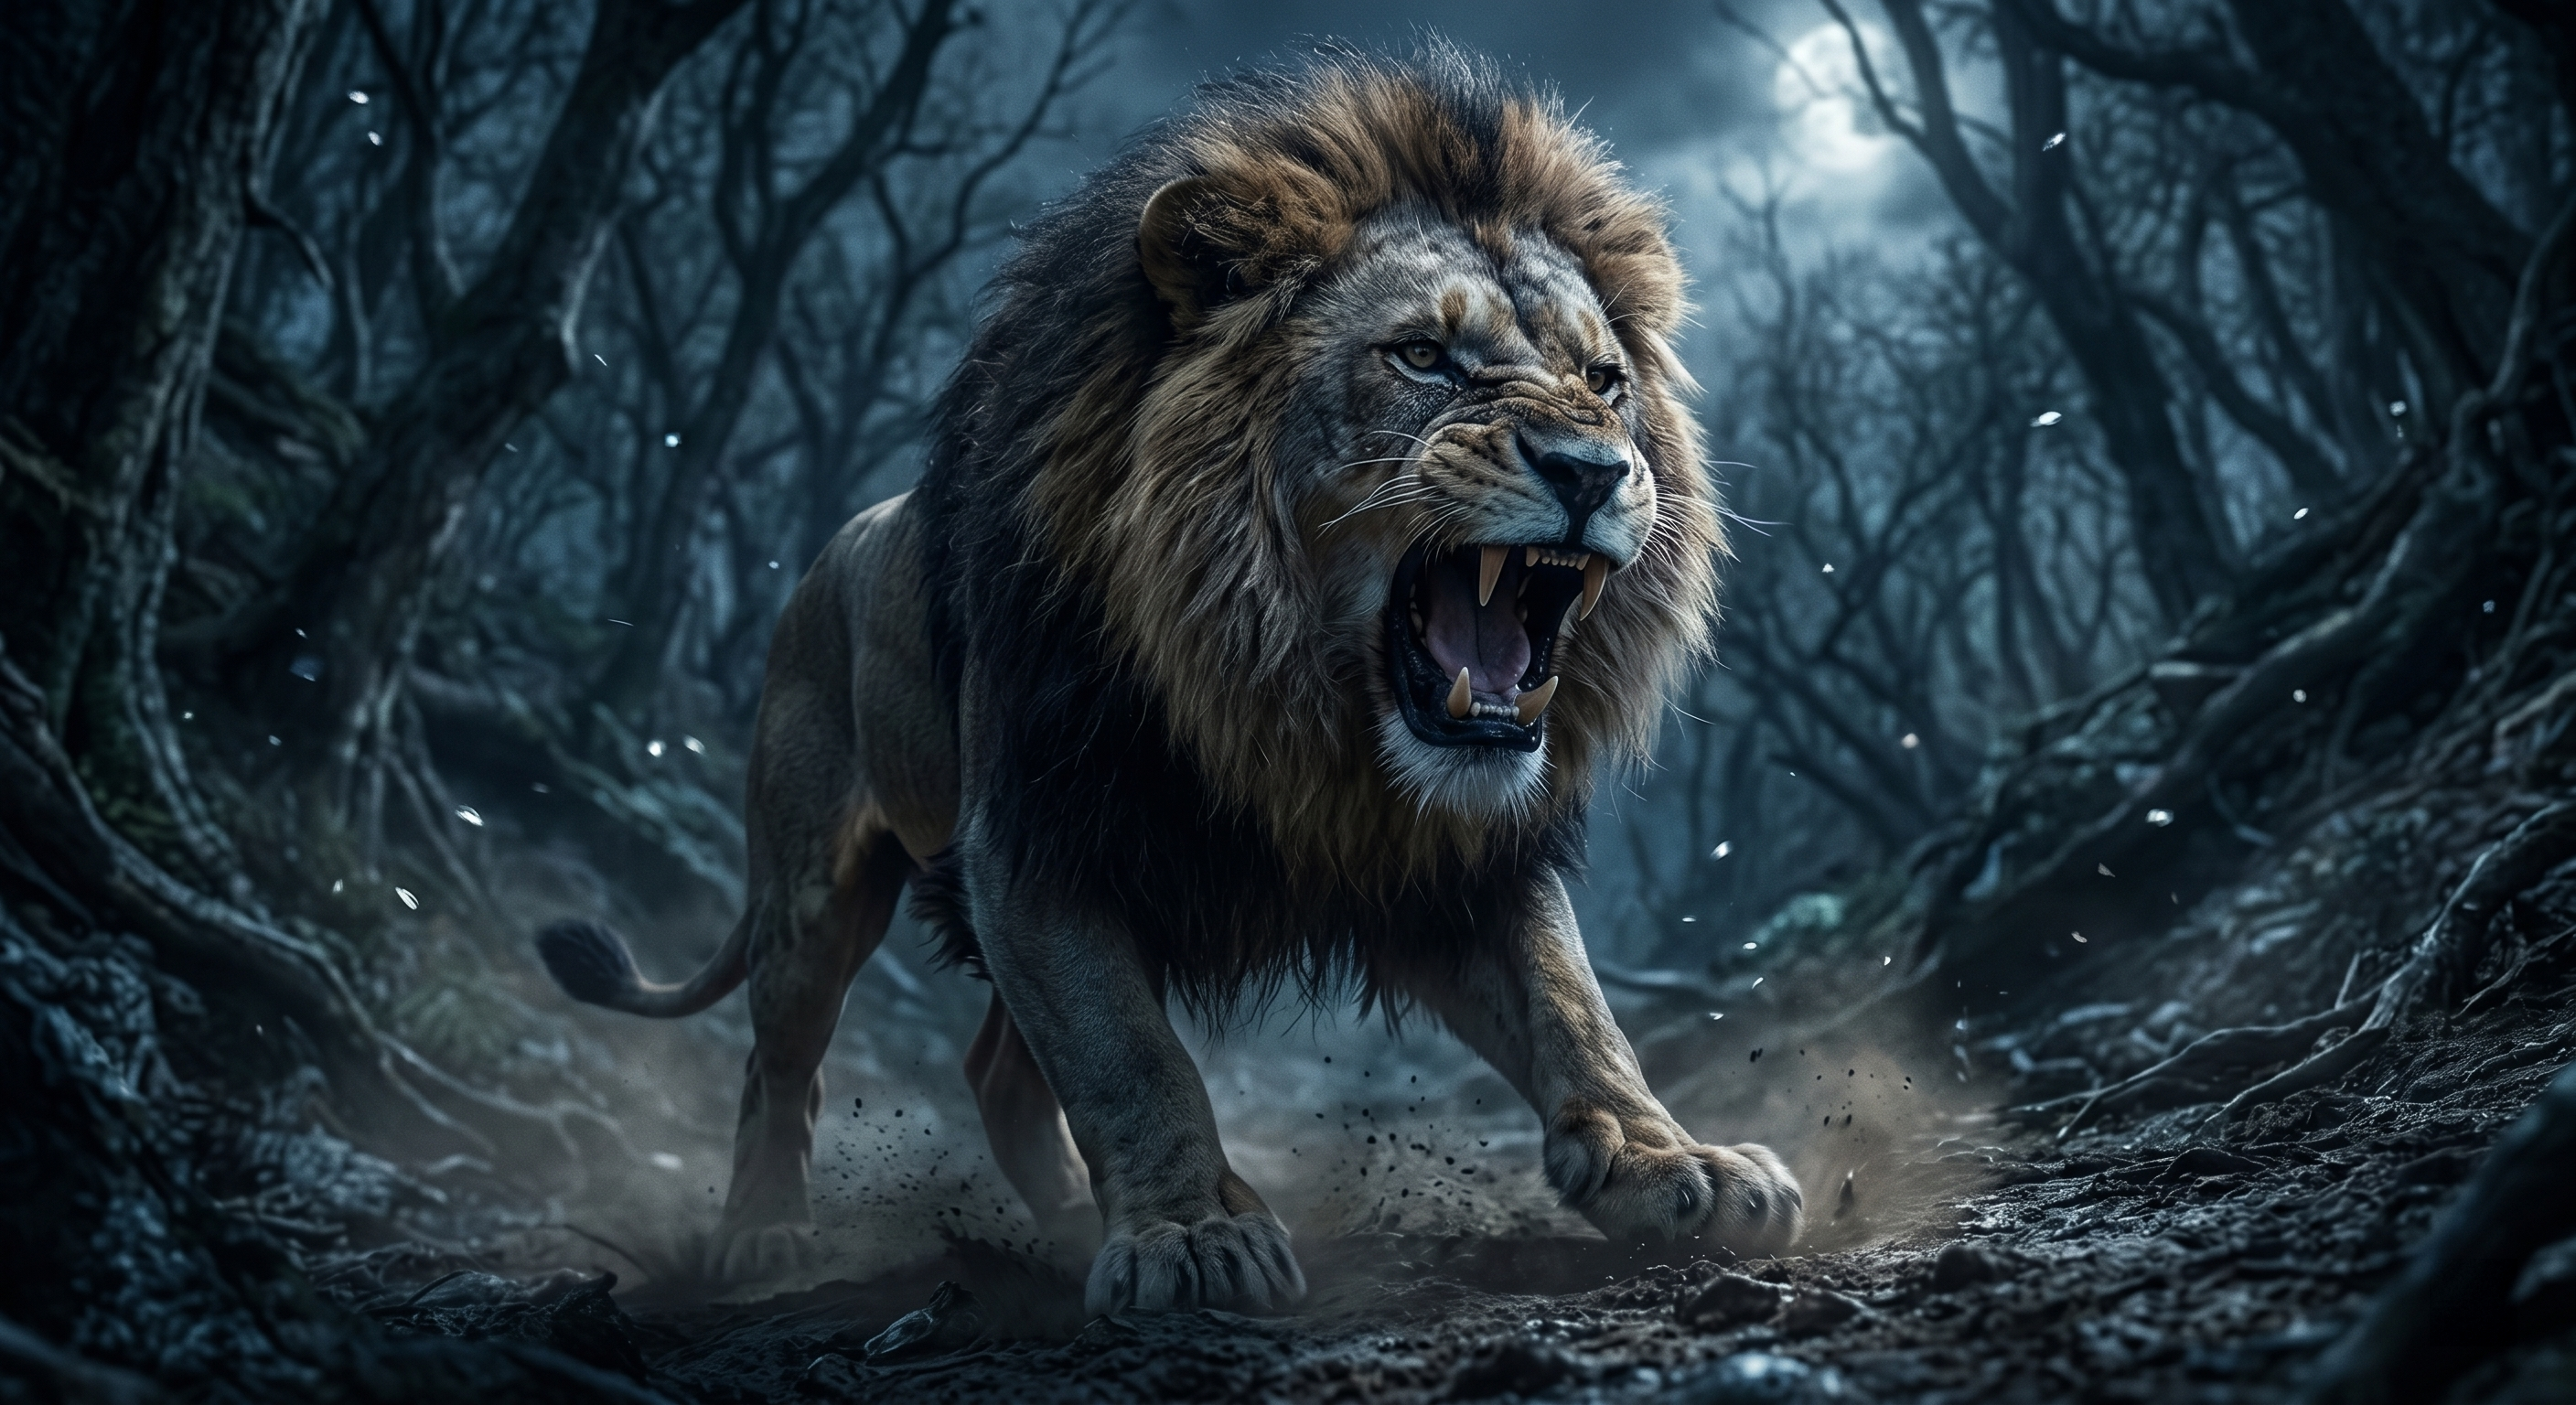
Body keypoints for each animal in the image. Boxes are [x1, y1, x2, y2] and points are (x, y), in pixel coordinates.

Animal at [537, 46, 1803, 1313]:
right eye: (1422, 356)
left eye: (1604, 377)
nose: (1590, 470)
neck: (1284, 705)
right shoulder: (1033, 837)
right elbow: (1127, 1058)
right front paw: (1191, 1232)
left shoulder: (1456, 852)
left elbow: (1573, 1008)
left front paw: (1669, 1161)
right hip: (809, 892)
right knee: (779, 1062)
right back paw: (765, 1238)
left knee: (994, 1073)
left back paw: (1051, 1227)